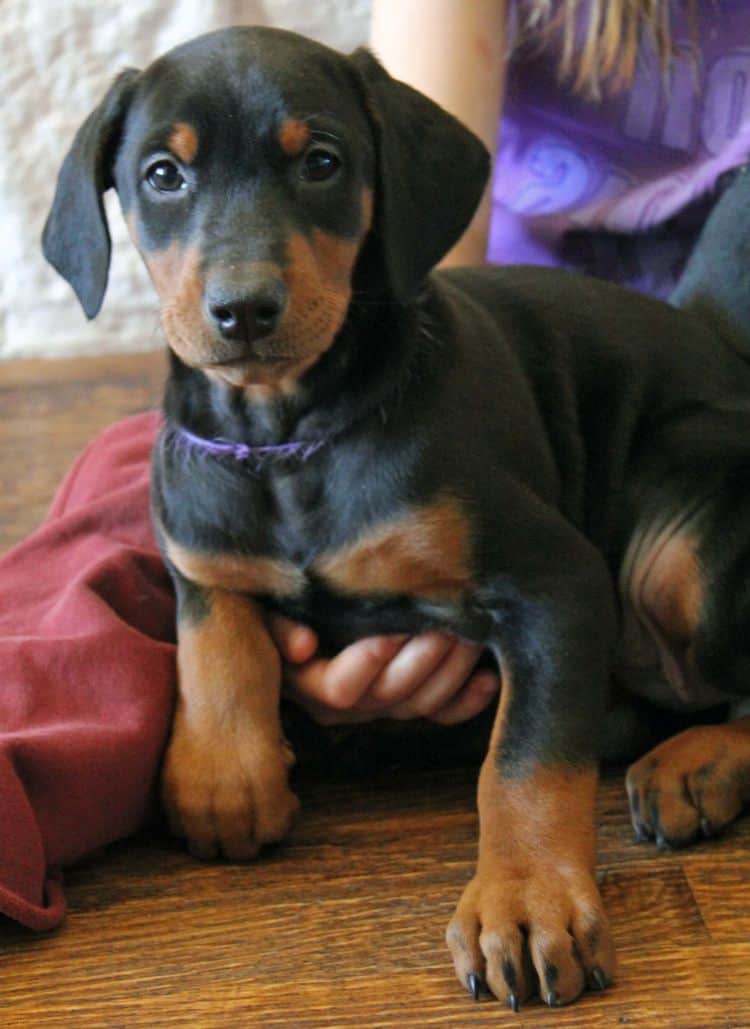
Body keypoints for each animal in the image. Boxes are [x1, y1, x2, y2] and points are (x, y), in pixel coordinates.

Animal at [42, 26, 750, 1012]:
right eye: (162, 175)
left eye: (322, 162)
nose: (243, 308)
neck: (287, 439)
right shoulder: (199, 541)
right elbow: (214, 638)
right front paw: (224, 776)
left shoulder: (557, 582)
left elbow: (526, 758)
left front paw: (526, 901)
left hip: (679, 546)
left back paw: (698, 761)